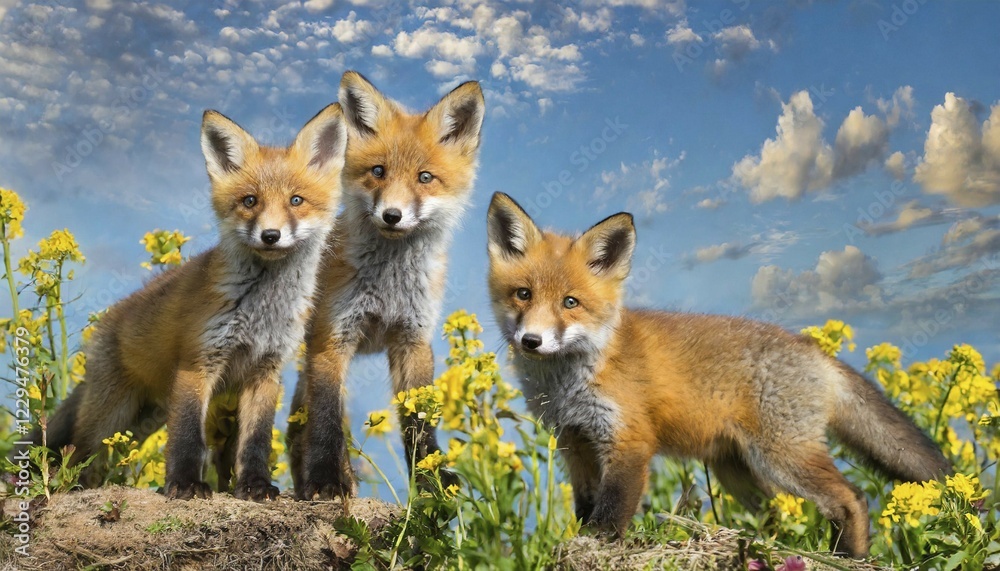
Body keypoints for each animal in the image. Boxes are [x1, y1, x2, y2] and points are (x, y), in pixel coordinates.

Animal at [42, 104, 348, 500]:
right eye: (250, 201)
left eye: (296, 201)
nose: (270, 235)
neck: (261, 310)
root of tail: (109, 318)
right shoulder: (197, 362)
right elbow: (188, 436)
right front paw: (185, 483)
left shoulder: (265, 372)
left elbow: (256, 441)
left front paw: (255, 485)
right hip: (112, 414)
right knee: (78, 451)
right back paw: (74, 488)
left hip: (144, 420)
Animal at [287, 71, 485, 500]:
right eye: (378, 171)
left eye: (425, 178)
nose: (392, 215)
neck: (389, 288)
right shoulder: (333, 340)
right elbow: (326, 422)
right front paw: (325, 479)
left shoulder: (413, 340)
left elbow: (419, 426)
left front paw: (429, 483)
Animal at [485, 192, 951, 558]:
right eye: (523, 294)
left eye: (570, 302)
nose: (531, 341)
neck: (570, 381)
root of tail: (813, 349)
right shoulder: (574, 442)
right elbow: (585, 508)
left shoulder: (629, 439)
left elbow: (612, 510)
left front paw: (600, 545)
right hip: (737, 471)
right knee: (775, 514)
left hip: (783, 457)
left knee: (851, 498)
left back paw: (849, 557)